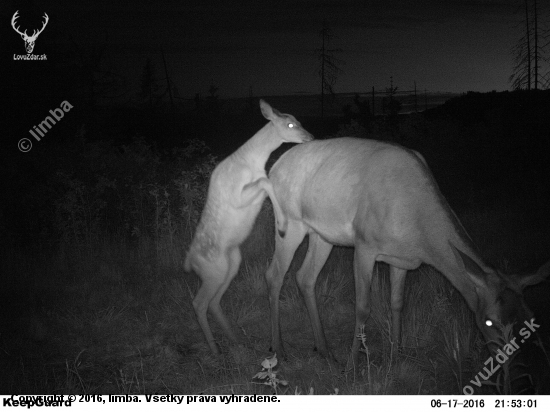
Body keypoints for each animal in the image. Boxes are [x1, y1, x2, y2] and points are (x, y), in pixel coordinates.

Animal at [185, 99, 314, 354]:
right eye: (290, 123)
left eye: (298, 119)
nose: (310, 136)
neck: (251, 161)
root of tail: (189, 262)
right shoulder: (237, 195)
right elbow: (266, 181)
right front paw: (282, 224)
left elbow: (266, 180)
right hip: (212, 271)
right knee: (199, 303)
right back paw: (216, 350)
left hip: (230, 265)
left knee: (213, 302)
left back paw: (236, 340)